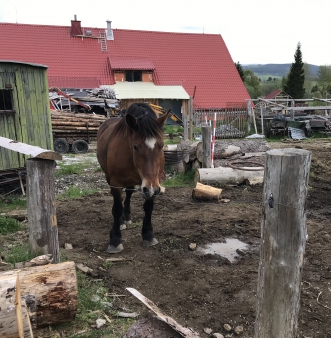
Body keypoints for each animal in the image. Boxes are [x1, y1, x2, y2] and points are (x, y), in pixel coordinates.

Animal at [96, 103, 169, 254]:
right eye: (135, 146)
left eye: (161, 145)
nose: (151, 188)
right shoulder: (116, 184)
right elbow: (116, 208)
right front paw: (115, 240)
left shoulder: (153, 183)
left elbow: (148, 207)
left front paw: (148, 235)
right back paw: (122, 222)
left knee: (129, 193)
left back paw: (127, 217)